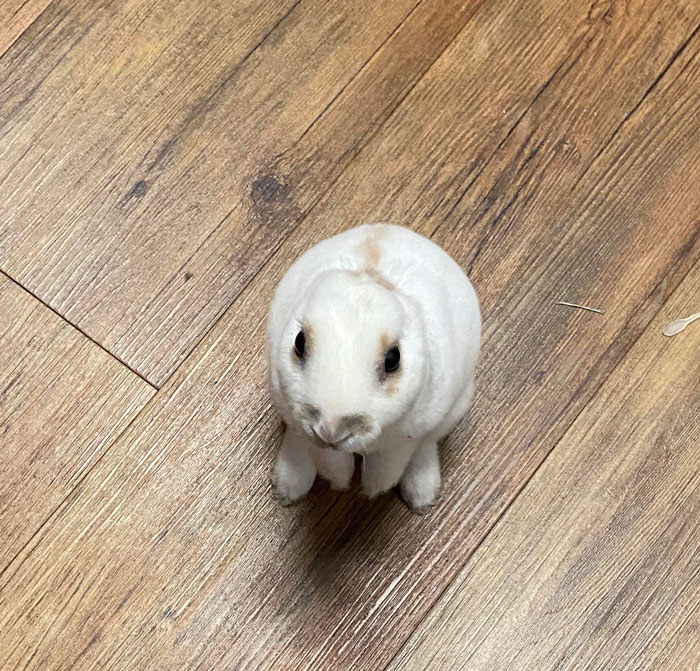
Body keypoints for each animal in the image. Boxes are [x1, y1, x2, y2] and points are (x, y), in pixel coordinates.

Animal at [266, 224, 481, 513]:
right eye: (299, 342)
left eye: (393, 358)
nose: (330, 430)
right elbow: (327, 459)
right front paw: (340, 481)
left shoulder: (402, 441)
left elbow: (388, 466)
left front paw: (371, 490)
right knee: (296, 436)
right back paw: (287, 488)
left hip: (453, 410)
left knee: (428, 444)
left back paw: (421, 498)